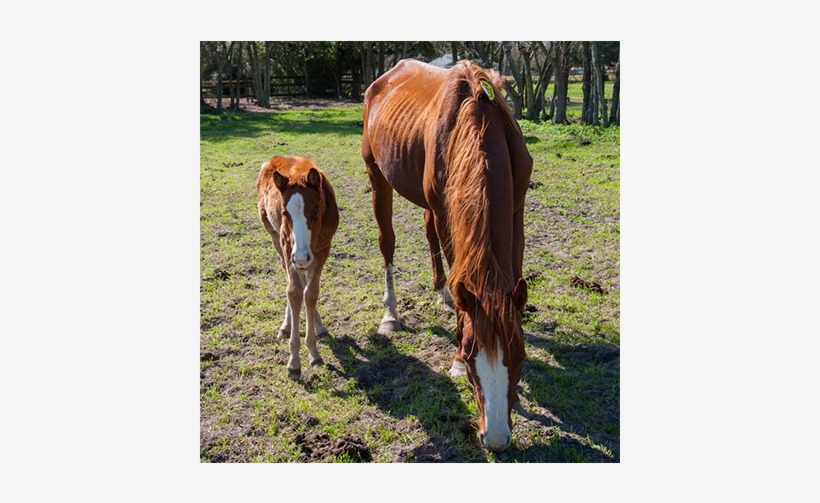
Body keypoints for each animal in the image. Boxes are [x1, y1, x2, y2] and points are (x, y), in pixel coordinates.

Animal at [257, 155, 339, 380]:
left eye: (316, 210)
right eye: (285, 212)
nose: (301, 257)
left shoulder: (323, 249)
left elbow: (310, 293)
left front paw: (313, 352)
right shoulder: (287, 246)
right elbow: (293, 293)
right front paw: (294, 361)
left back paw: (318, 325)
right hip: (276, 239)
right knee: (290, 277)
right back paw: (286, 325)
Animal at [362, 59, 533, 451]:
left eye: (519, 356)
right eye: (470, 360)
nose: (495, 439)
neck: (479, 121)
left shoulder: (516, 210)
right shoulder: (446, 211)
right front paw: (453, 353)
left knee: (429, 236)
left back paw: (442, 292)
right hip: (379, 177)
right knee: (387, 242)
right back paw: (391, 315)